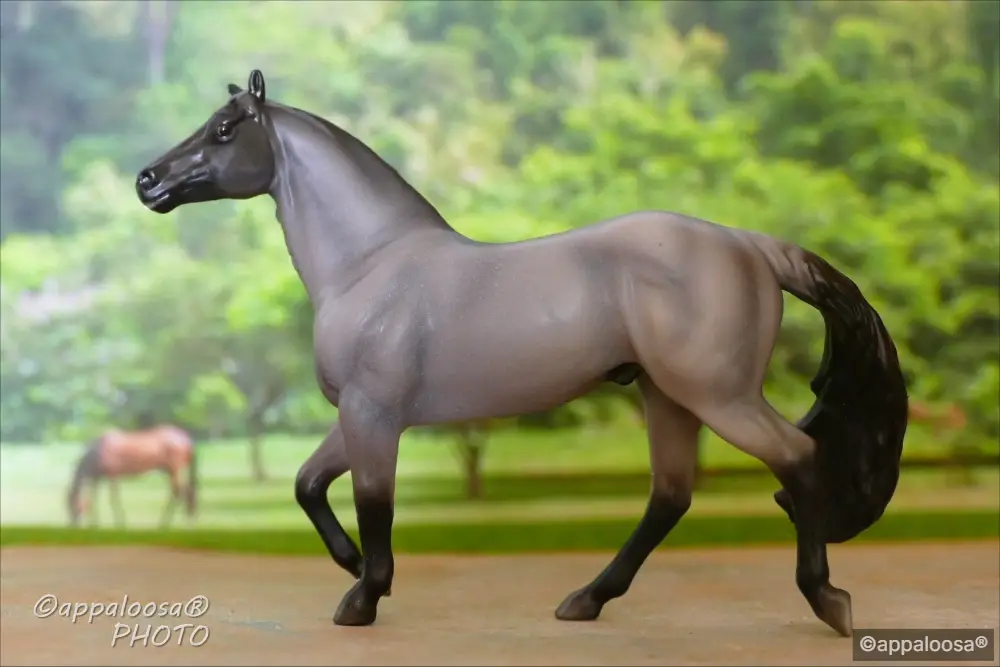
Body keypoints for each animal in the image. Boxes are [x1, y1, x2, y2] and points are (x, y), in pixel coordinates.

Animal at [67, 424, 198, 529]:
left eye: (73, 504)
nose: (73, 524)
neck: (99, 451)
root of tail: (185, 439)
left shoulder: (113, 476)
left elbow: (113, 500)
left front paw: (120, 523)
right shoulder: (97, 478)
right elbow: (93, 500)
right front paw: (95, 524)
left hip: (174, 471)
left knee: (179, 493)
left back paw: (164, 524)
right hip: (172, 472)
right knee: (187, 492)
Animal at [135, 70, 908, 635]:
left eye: (225, 128)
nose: (149, 180)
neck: (372, 264)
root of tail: (749, 245)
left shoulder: (373, 416)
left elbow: (373, 502)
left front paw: (363, 596)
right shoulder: (356, 416)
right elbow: (307, 484)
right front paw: (351, 565)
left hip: (721, 396)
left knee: (797, 459)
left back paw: (828, 600)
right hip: (669, 395)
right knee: (671, 494)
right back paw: (587, 599)